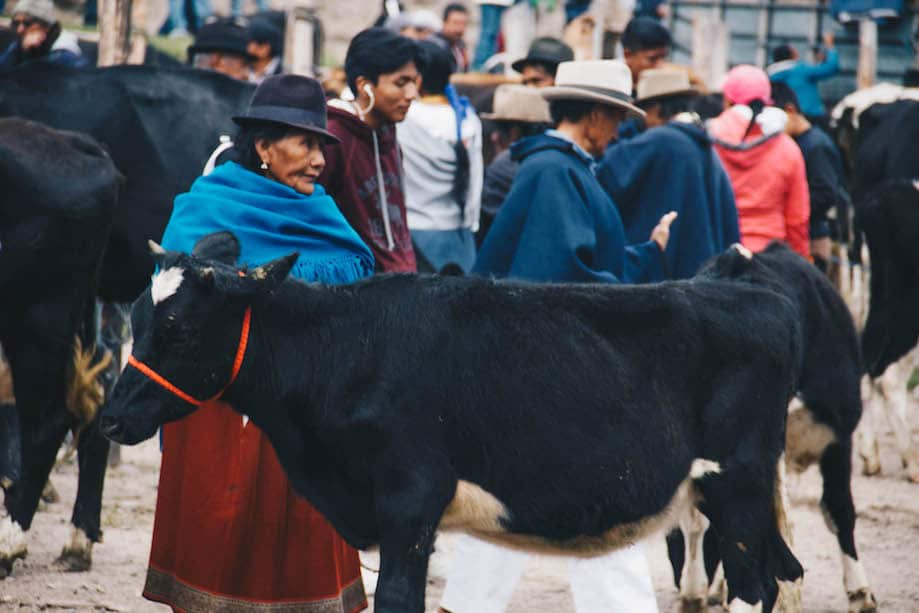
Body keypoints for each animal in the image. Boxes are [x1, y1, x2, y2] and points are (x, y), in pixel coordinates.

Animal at [102, 233, 804, 608]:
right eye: (138, 316)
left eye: (179, 328)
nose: (110, 419)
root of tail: (751, 290)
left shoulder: (410, 501)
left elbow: (396, 599)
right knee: (781, 574)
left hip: (736, 485)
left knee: (752, 587)